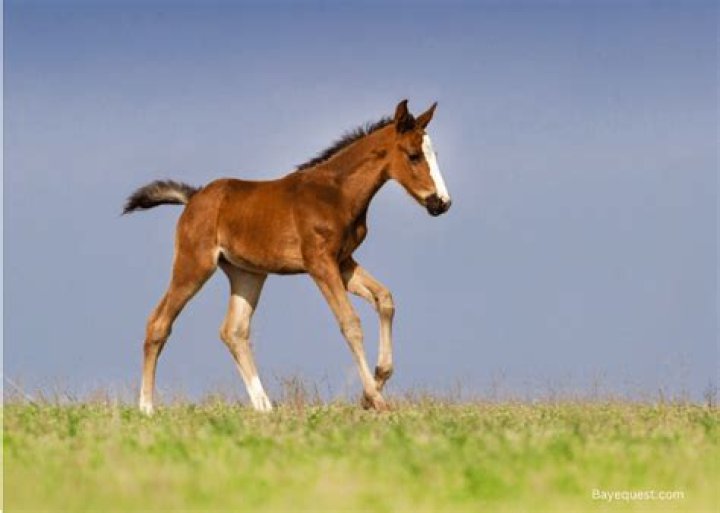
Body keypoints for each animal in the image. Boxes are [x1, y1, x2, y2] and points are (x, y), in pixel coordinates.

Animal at [123, 99, 451, 414]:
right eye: (413, 155)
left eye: (433, 153)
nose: (442, 203)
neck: (337, 193)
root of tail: (193, 197)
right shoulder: (320, 263)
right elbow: (350, 323)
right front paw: (376, 400)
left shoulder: (343, 261)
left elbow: (385, 299)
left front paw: (375, 385)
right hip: (193, 265)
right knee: (159, 323)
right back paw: (146, 407)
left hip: (248, 274)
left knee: (234, 331)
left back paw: (264, 406)